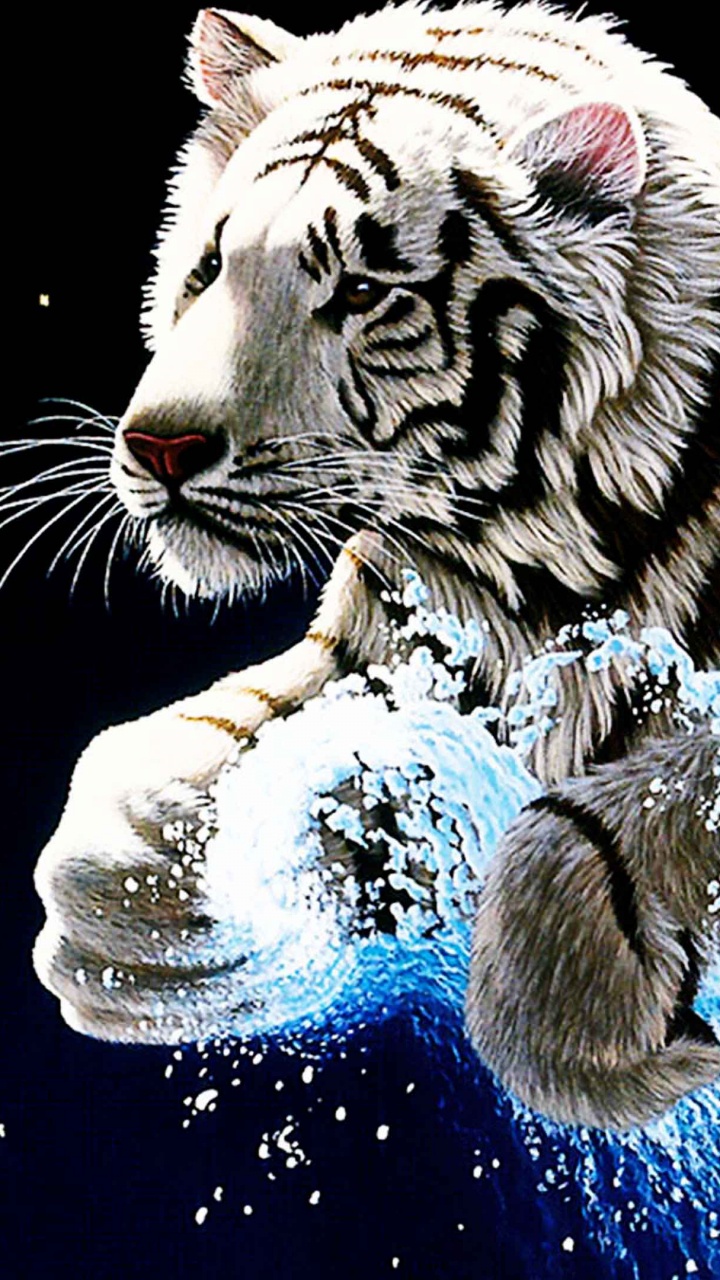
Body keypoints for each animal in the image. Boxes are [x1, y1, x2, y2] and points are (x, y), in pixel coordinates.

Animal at [32, 1, 719, 1130]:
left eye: (359, 291)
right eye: (211, 269)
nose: (161, 447)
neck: (521, 570)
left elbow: (612, 818)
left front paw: (596, 1043)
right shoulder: (396, 655)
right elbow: (193, 746)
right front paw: (131, 914)